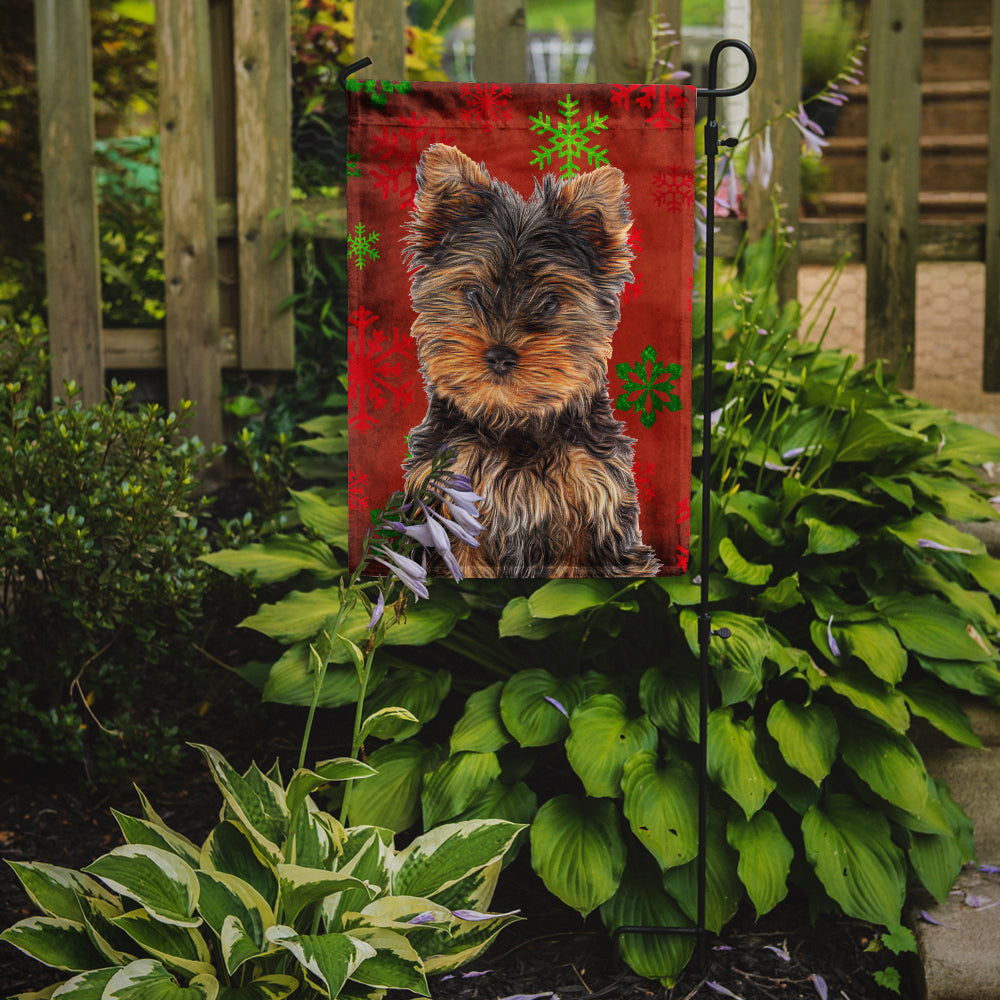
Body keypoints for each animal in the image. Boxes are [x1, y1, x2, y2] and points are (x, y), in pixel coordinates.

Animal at [402, 143, 660, 580]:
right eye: (473, 293)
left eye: (549, 302)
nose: (500, 356)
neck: (514, 423)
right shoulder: (450, 505)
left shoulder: (595, 501)